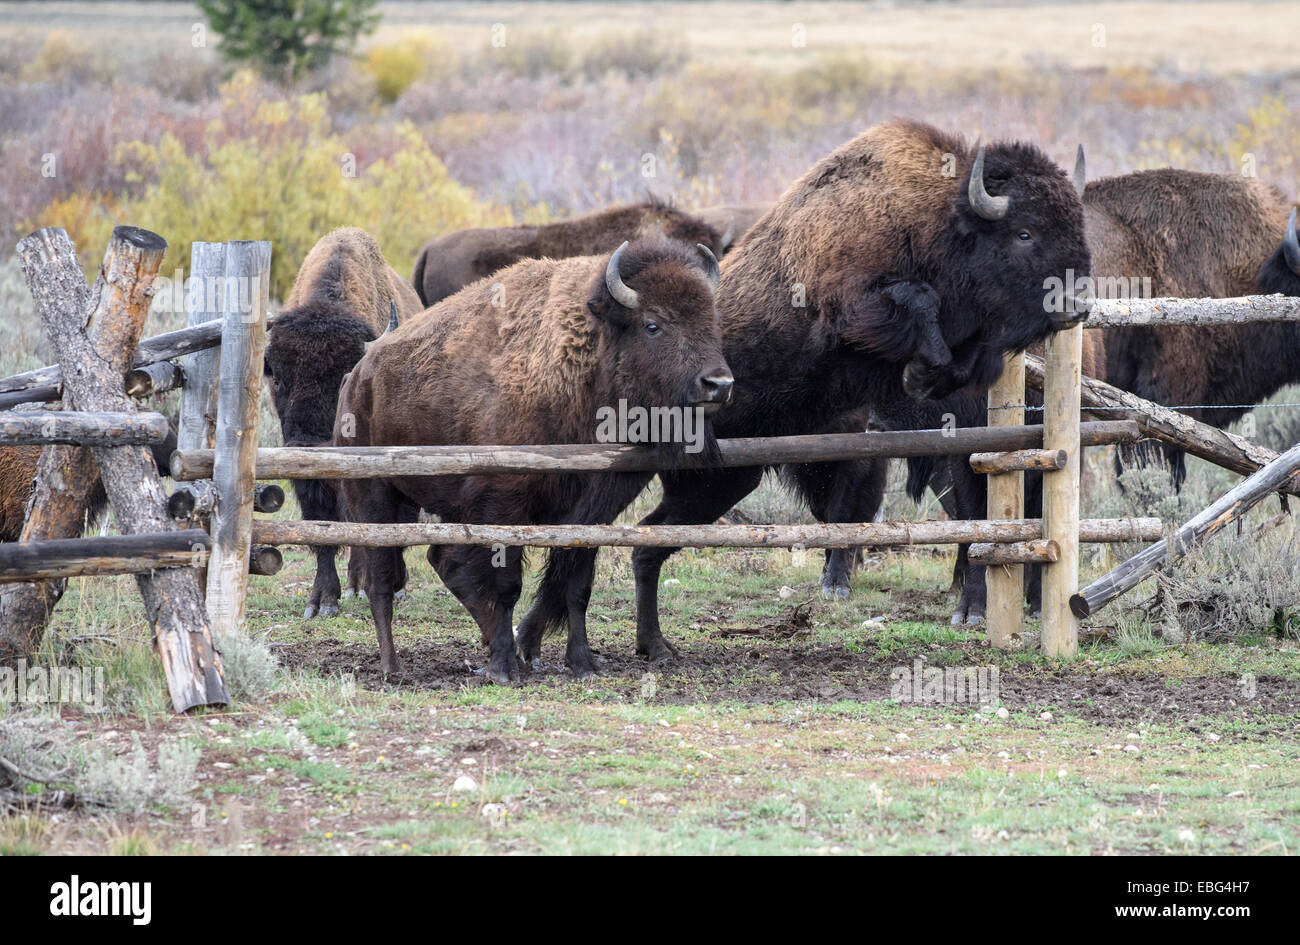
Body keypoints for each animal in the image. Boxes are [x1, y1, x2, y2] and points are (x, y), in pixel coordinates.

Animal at [261, 228, 423, 621]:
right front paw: (322, 600)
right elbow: (325, 527)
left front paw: (393, 585)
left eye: (342, 380)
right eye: (278, 379)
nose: (309, 446)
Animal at [338, 236, 733, 681]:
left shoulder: (591, 513)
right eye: (653, 324)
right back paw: (393, 667)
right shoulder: (503, 507)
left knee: (440, 560)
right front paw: (505, 668)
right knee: (382, 579)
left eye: (712, 321)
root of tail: (359, 373)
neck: (583, 362)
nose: (719, 384)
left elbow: (577, 585)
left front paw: (582, 663)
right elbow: (508, 585)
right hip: (374, 497)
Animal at [512, 118, 1092, 665]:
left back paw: (621, 645)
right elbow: (916, 302)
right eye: (1024, 232)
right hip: (622, 474)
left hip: (716, 482)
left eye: (1075, 221)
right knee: (582, 543)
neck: (936, 218)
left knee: (638, 547)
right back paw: (538, 643)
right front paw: (922, 369)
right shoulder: (852, 305)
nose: (1078, 303)